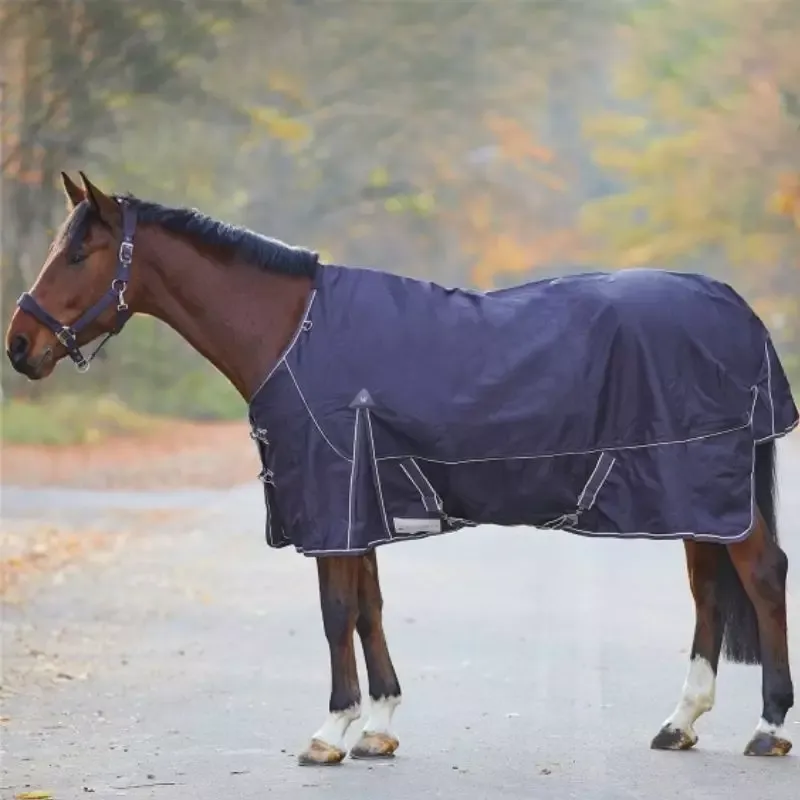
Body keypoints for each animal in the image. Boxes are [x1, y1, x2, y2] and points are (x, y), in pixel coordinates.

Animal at [5, 171, 798, 764]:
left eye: (78, 254)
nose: (19, 346)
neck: (295, 333)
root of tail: (739, 312)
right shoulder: (361, 504)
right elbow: (368, 607)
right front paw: (379, 728)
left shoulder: (334, 501)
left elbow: (335, 612)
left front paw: (330, 732)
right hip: (694, 494)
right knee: (707, 591)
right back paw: (680, 722)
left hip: (703, 486)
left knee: (760, 576)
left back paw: (768, 728)